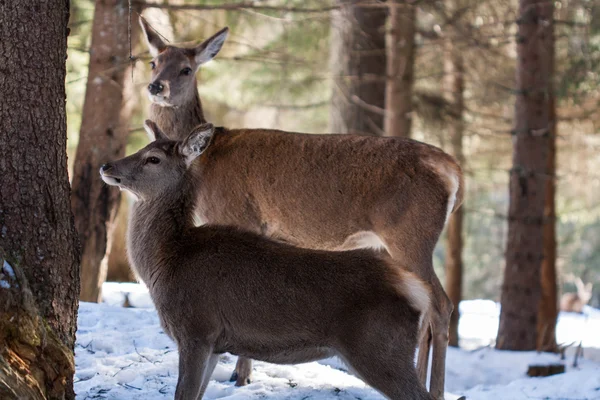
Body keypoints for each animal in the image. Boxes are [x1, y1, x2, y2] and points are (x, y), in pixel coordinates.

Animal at [101, 120, 434, 398]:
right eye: (143, 148)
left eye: (153, 158)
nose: (106, 165)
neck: (166, 260)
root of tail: (416, 291)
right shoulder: (215, 345)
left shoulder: (196, 329)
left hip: (379, 348)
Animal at [139, 16, 464, 400]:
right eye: (153, 61)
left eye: (187, 69)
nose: (156, 87)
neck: (206, 163)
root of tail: (454, 171)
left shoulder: (239, 213)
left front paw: (241, 374)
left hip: (412, 232)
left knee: (441, 305)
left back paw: (437, 388)